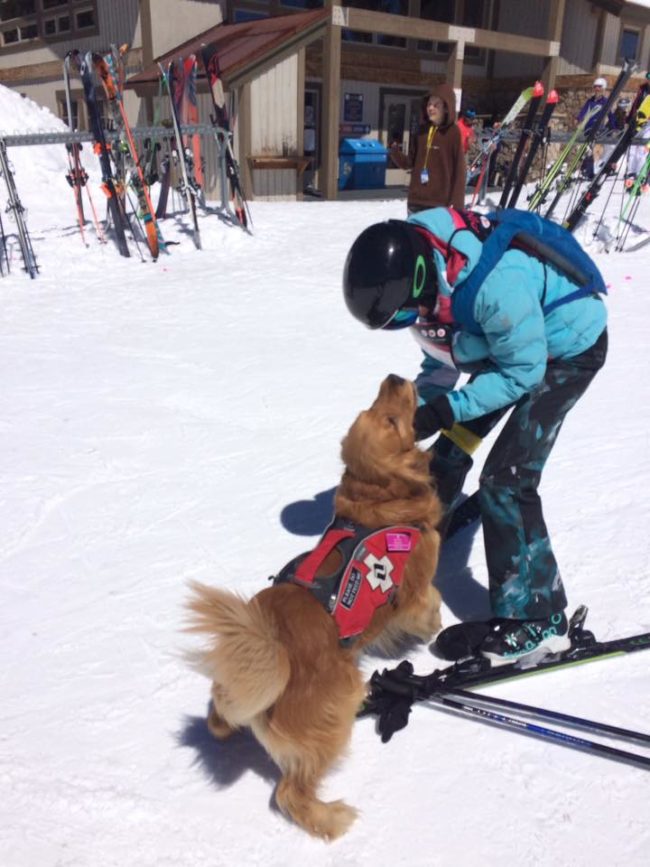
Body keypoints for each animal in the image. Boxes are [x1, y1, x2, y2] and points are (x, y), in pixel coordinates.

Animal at [185, 372, 442, 840]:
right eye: (392, 421)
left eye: (376, 407)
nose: (396, 377)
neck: (377, 503)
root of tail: (276, 656)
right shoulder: (415, 591)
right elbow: (432, 604)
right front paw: (433, 631)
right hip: (333, 715)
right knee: (290, 793)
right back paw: (332, 819)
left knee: (218, 717)